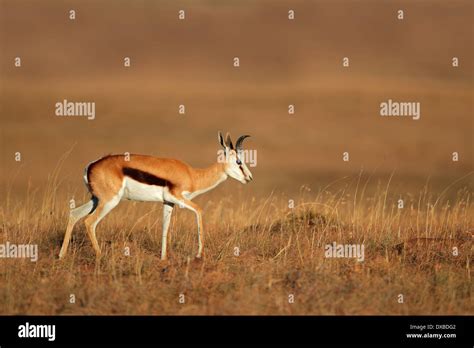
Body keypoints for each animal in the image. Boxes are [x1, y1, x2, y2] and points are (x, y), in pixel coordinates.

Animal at [57, 132, 254, 260]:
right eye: (239, 161)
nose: (249, 177)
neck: (193, 175)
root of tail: (91, 165)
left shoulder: (168, 203)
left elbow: (165, 228)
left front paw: (163, 258)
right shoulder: (179, 198)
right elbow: (199, 210)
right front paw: (199, 254)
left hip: (96, 199)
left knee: (74, 214)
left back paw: (61, 255)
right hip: (109, 201)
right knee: (89, 222)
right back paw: (100, 256)